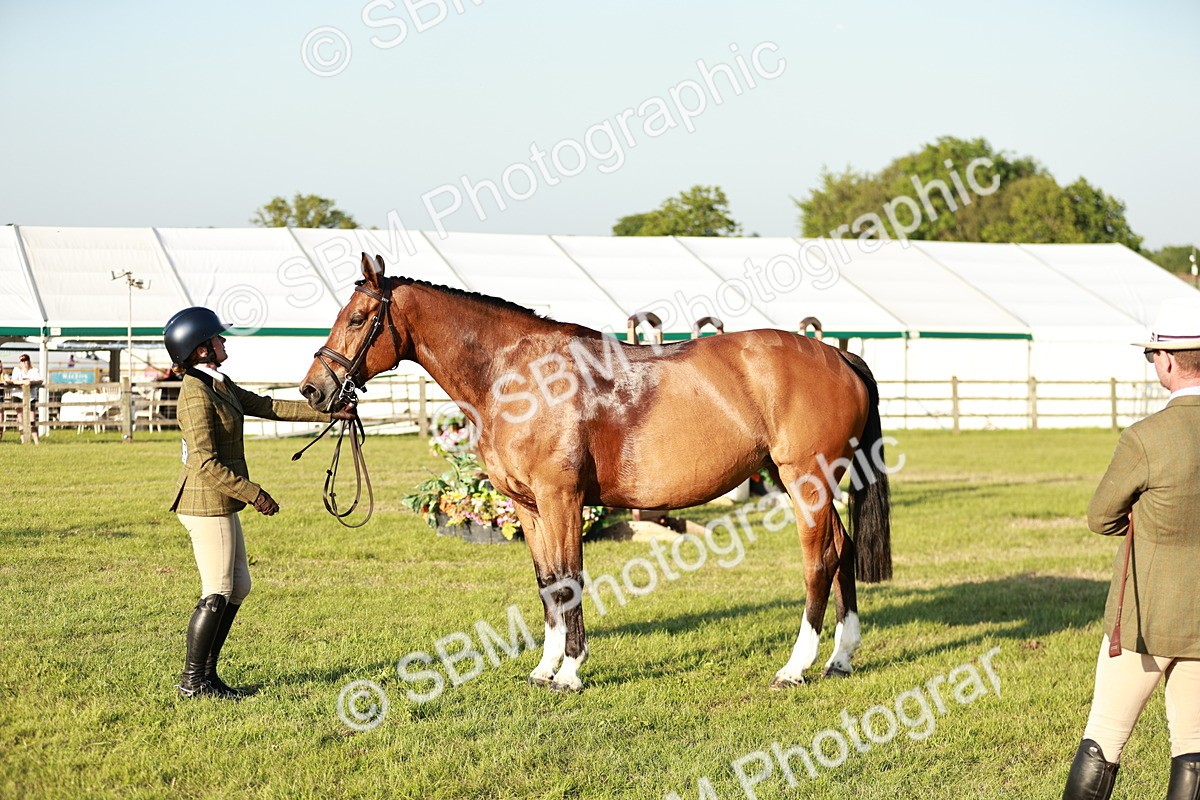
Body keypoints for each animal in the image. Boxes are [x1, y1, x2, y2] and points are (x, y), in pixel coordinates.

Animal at [301, 254, 891, 692]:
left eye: (358, 319)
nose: (313, 389)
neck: (520, 375)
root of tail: (837, 356)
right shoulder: (528, 506)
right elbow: (546, 583)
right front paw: (544, 668)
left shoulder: (561, 497)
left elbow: (569, 579)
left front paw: (571, 671)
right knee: (841, 550)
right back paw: (840, 657)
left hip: (805, 481)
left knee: (820, 559)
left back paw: (796, 666)